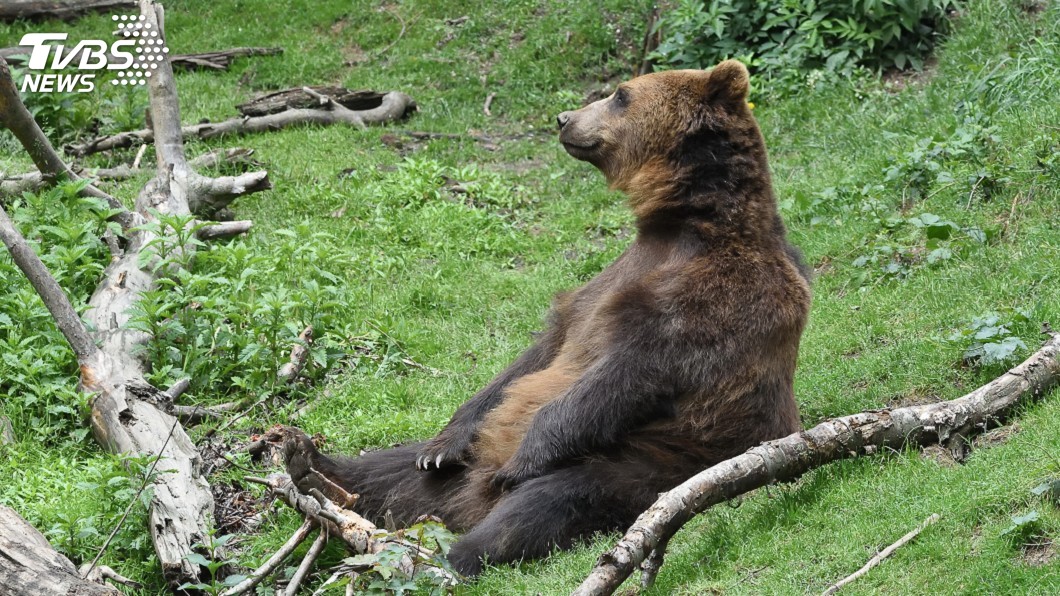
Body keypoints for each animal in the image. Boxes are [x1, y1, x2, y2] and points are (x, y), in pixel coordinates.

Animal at [288, 60, 811, 577]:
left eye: (621, 94)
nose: (564, 118)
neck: (684, 223)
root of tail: (466, 506)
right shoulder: (605, 281)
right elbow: (540, 353)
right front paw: (442, 444)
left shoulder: (712, 296)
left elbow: (626, 372)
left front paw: (522, 459)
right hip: (456, 473)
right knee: (392, 468)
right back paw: (311, 461)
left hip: (664, 458)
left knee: (555, 499)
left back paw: (448, 552)